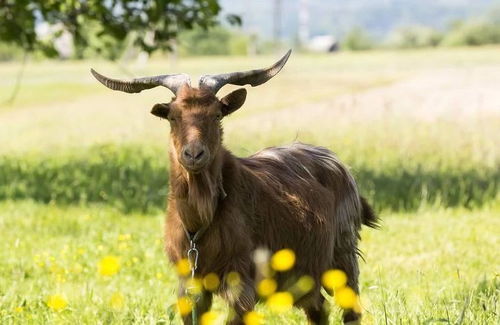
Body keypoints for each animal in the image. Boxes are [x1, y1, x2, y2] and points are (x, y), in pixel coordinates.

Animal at [92, 49, 376, 322]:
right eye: (173, 116)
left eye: (217, 114)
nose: (193, 154)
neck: (198, 224)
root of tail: (340, 165)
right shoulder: (189, 283)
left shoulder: (241, 280)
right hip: (302, 275)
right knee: (318, 308)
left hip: (343, 252)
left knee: (350, 307)